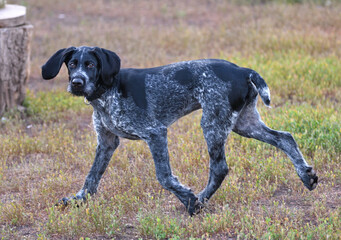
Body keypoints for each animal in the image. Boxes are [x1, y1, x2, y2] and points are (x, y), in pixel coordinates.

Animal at [41, 46, 316, 216]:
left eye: (90, 64)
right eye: (72, 64)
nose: (77, 83)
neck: (107, 91)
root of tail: (243, 70)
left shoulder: (155, 133)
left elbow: (164, 177)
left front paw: (188, 198)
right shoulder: (107, 142)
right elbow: (91, 177)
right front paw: (79, 200)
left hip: (213, 123)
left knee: (220, 168)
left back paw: (200, 202)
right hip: (244, 124)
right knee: (286, 138)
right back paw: (306, 176)